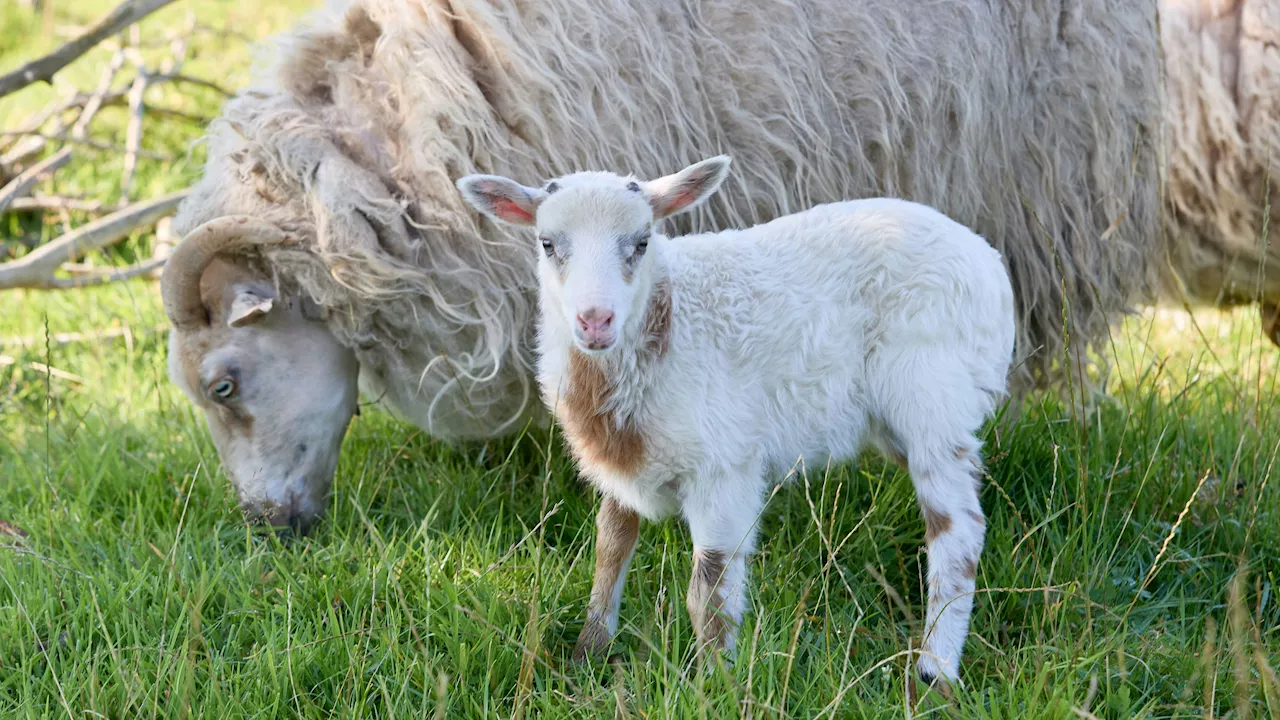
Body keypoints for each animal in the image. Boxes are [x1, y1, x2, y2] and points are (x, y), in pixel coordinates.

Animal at [455, 155, 1013, 681]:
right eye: (548, 243)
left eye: (641, 242)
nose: (595, 321)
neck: (666, 325)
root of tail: (989, 263)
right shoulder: (622, 459)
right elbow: (610, 548)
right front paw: (587, 654)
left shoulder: (724, 466)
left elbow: (710, 589)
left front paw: (713, 681)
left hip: (932, 392)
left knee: (958, 532)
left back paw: (935, 671)